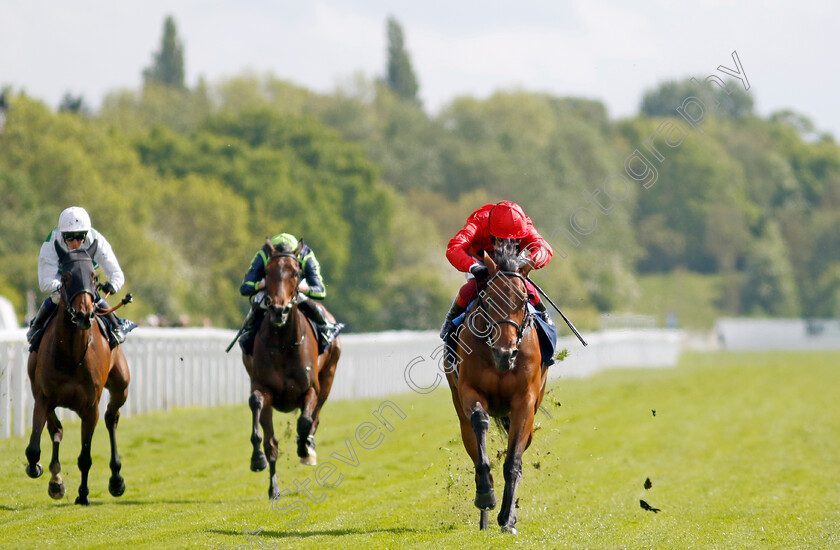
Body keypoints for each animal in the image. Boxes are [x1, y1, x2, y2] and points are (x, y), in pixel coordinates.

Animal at [25, 244, 130, 506]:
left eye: (93, 277)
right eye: (65, 277)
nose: (84, 315)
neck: (71, 355)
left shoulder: (90, 407)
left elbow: (85, 457)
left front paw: (83, 494)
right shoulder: (43, 397)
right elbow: (34, 449)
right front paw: (42, 472)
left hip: (121, 387)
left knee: (111, 418)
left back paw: (116, 479)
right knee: (57, 430)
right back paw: (56, 480)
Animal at [243, 237, 342, 500]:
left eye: (296, 273)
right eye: (267, 272)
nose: (279, 310)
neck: (283, 344)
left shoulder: (311, 389)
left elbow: (305, 422)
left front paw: (305, 448)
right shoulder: (262, 387)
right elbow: (258, 413)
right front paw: (258, 460)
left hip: (328, 378)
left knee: (315, 417)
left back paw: (308, 447)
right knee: (272, 442)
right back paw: (273, 487)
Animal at [442, 242, 548, 536]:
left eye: (523, 300)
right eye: (489, 299)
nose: (505, 353)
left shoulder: (525, 401)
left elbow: (513, 463)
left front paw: (508, 519)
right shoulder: (470, 390)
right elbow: (480, 425)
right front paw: (486, 496)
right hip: (459, 409)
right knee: (472, 440)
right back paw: (484, 513)